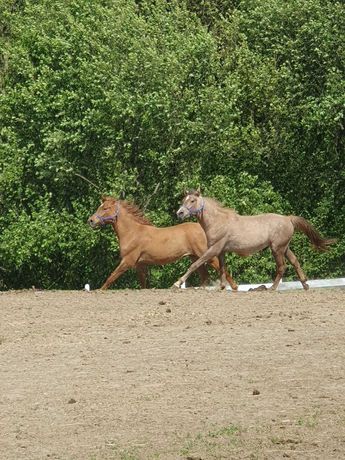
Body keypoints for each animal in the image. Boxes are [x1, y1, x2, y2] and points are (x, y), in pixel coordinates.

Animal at [87, 196, 238, 290]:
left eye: (105, 208)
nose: (91, 221)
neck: (132, 232)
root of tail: (202, 228)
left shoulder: (128, 261)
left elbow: (111, 277)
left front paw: (99, 290)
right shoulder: (140, 265)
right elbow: (143, 284)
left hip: (207, 256)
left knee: (221, 270)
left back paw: (234, 287)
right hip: (195, 257)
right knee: (204, 275)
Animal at [173, 190, 334, 292]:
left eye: (192, 200)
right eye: (183, 200)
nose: (179, 213)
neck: (218, 221)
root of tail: (288, 218)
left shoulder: (214, 249)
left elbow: (195, 264)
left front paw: (177, 283)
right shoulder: (221, 251)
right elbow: (223, 269)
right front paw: (222, 287)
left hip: (277, 249)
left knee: (282, 267)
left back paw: (271, 288)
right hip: (284, 248)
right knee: (295, 261)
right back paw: (305, 284)